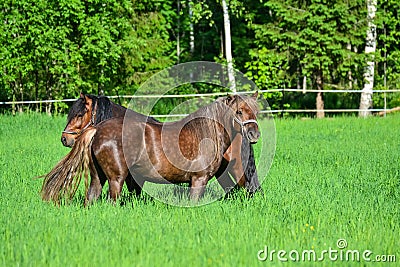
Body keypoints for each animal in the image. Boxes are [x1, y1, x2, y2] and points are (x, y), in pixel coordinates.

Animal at [40, 94, 260, 203]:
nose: (254, 133)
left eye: (255, 111)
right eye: (239, 111)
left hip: (98, 177)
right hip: (115, 179)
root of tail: (97, 129)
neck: (204, 132)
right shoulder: (198, 180)